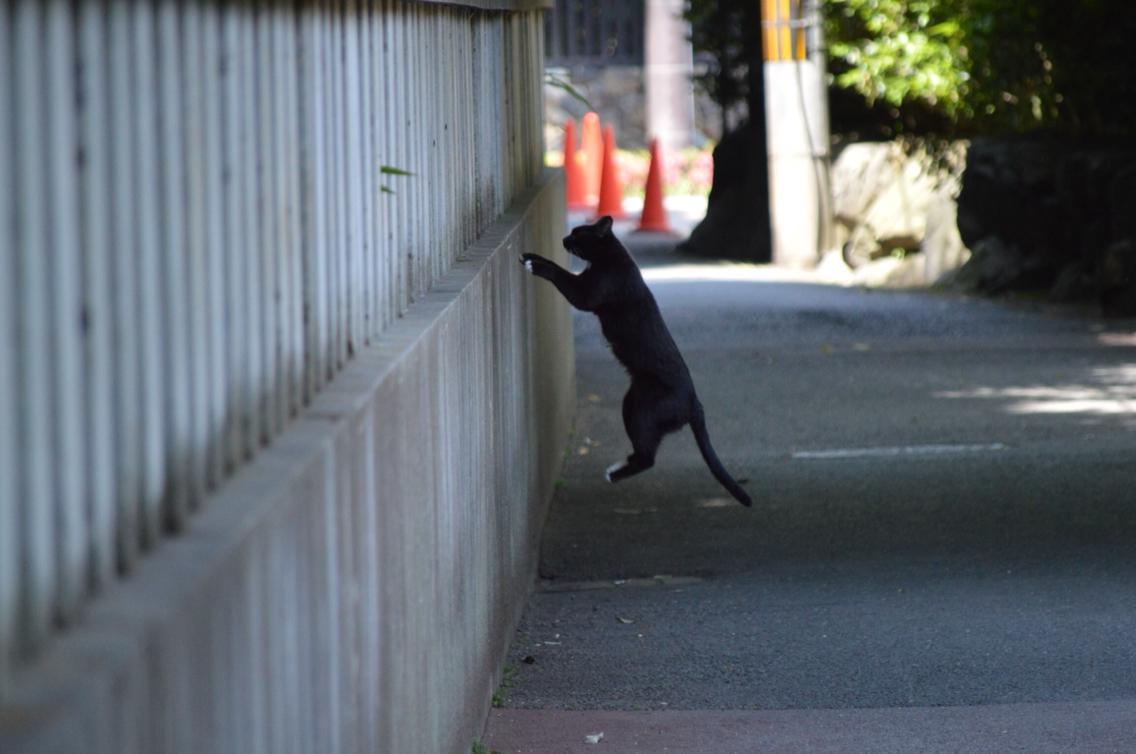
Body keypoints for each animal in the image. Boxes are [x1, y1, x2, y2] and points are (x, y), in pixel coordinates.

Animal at [522, 216, 754, 506]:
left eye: (578, 233)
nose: (565, 239)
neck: (609, 256)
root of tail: (695, 402)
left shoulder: (585, 294)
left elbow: (560, 274)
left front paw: (536, 265)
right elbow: (558, 266)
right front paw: (530, 256)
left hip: (643, 411)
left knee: (648, 458)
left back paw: (613, 473)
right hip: (632, 402)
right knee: (645, 451)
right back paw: (622, 464)